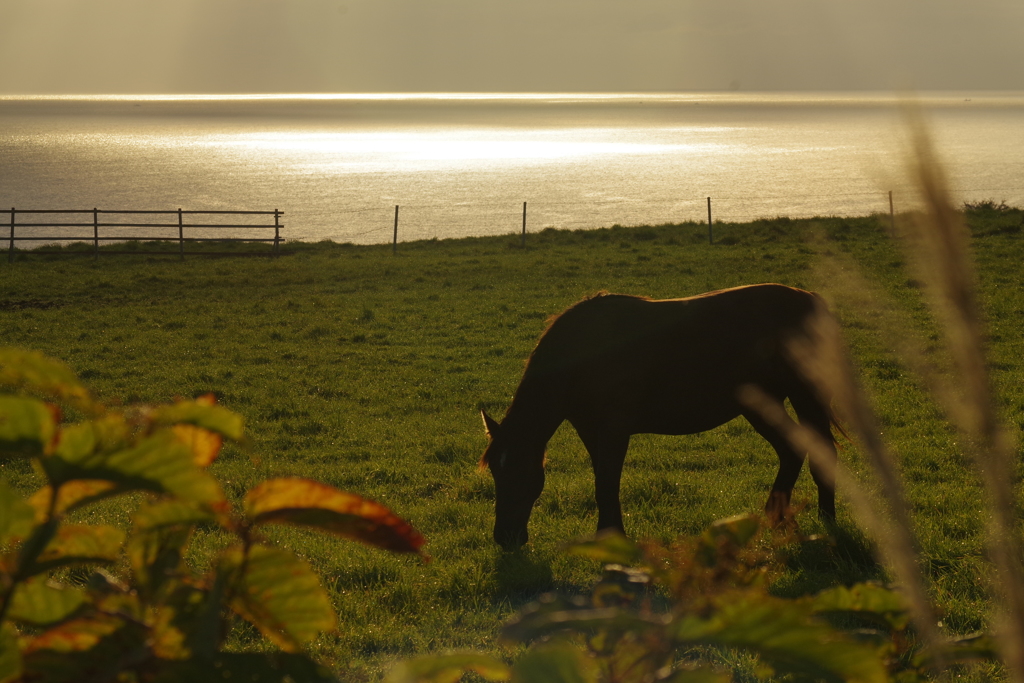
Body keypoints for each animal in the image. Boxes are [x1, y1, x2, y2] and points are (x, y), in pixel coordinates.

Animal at [479, 282, 839, 548]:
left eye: (522, 472)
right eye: (495, 471)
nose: (505, 538)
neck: (582, 354)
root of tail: (809, 298)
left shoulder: (613, 431)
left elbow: (607, 483)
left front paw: (612, 538)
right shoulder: (591, 430)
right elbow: (602, 482)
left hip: (803, 395)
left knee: (820, 449)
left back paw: (825, 519)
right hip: (763, 404)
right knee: (792, 450)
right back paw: (778, 518)